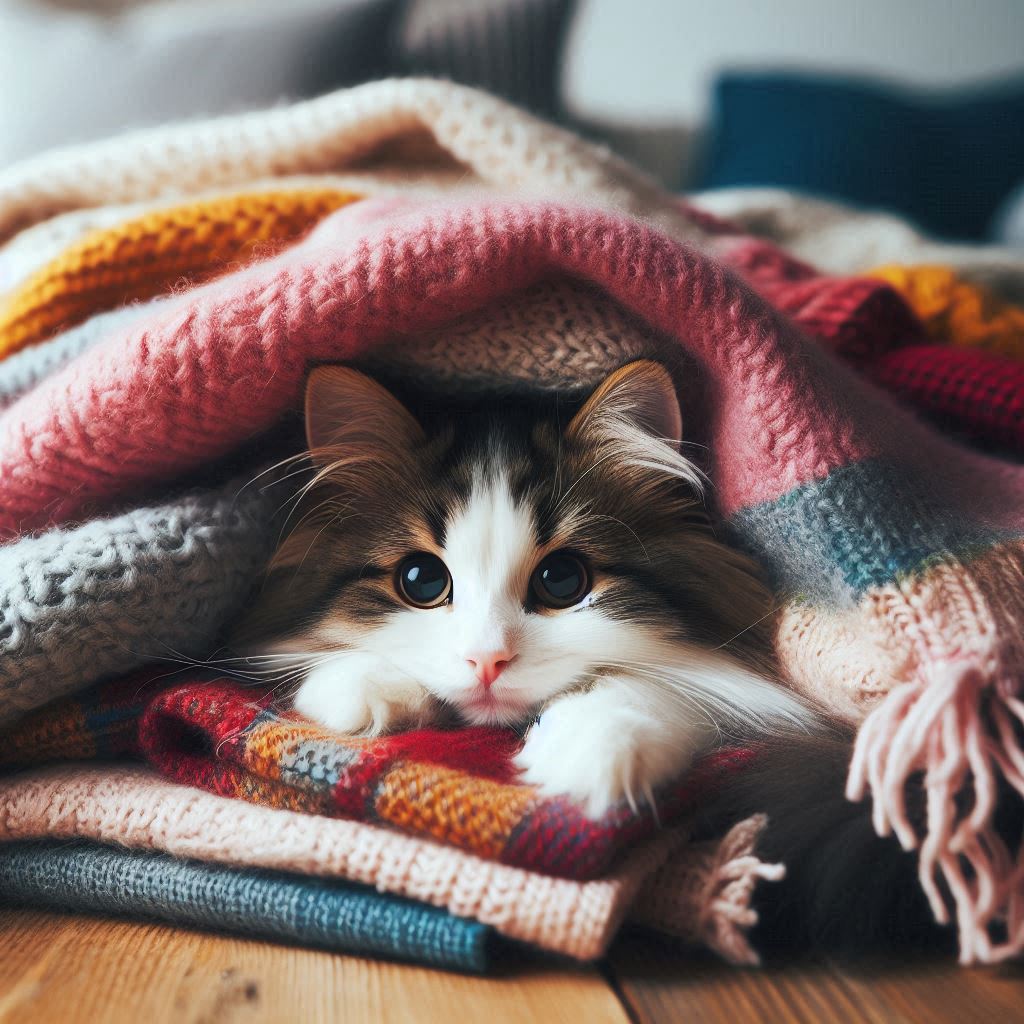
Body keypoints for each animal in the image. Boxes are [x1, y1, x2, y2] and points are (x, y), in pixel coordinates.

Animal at [232, 360, 815, 815]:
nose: (488, 661)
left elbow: (660, 682)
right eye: (421, 581)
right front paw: (367, 686)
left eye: (562, 580)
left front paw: (592, 743)